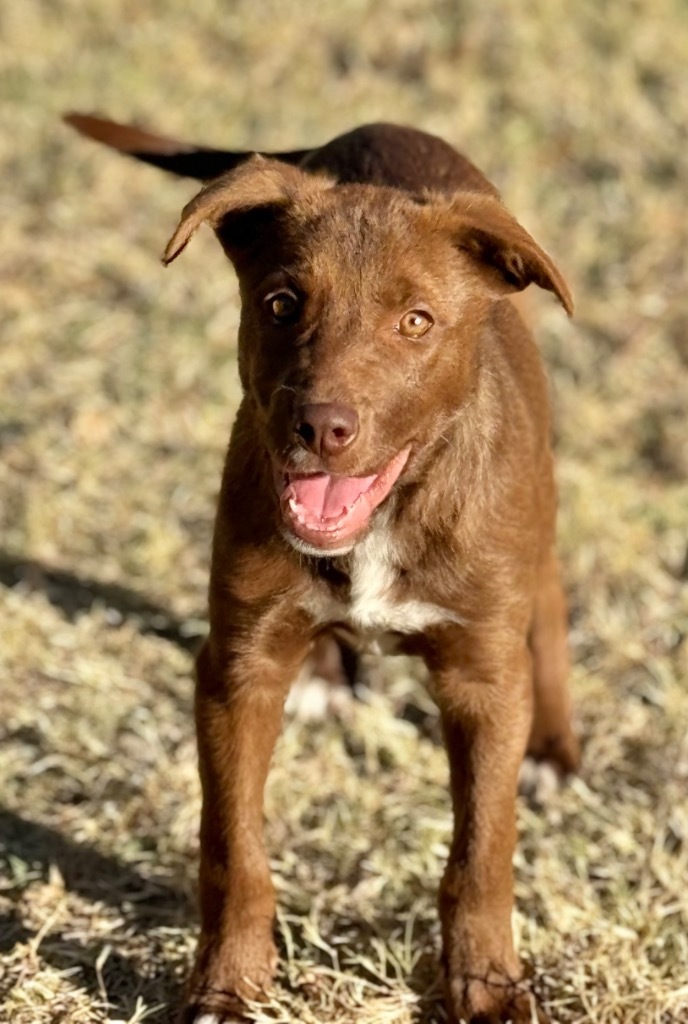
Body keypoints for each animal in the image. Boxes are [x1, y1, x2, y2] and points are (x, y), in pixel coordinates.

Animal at [67, 114, 581, 1024]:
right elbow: (233, 847)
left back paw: (553, 749)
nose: (320, 427)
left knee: (549, 605)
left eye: (416, 321)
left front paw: (486, 983)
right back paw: (323, 673)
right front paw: (225, 987)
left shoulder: (483, 680)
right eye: (281, 304)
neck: (383, 522)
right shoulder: (234, 672)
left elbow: (483, 849)